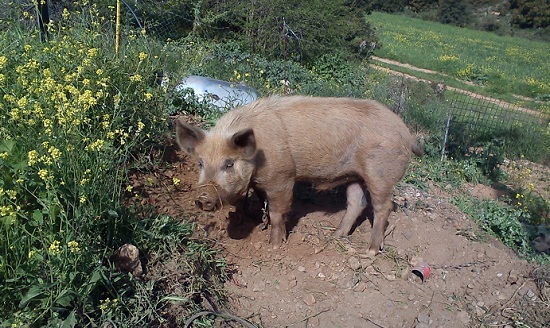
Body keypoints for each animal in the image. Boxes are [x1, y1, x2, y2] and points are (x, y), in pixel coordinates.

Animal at [175, 95, 424, 256]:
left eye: (229, 163)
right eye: (200, 163)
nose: (203, 197)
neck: (258, 156)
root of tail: (407, 134)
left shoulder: (282, 177)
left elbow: (277, 211)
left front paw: (275, 246)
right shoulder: (261, 182)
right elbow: (261, 202)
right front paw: (259, 222)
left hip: (380, 173)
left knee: (383, 208)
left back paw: (369, 251)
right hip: (356, 175)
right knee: (357, 202)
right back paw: (337, 235)